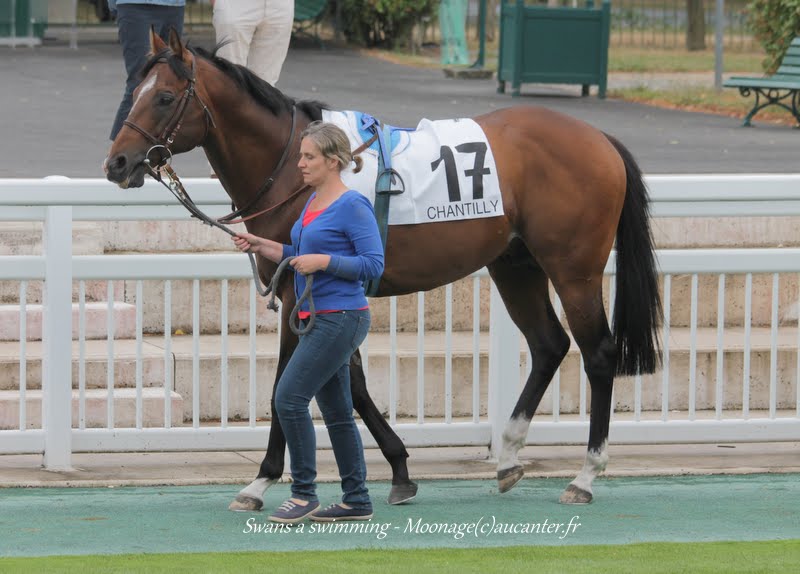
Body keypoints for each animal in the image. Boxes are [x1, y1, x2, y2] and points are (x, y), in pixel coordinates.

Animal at [101, 29, 664, 510]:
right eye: (135, 89)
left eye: (165, 97)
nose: (117, 164)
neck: (294, 170)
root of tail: (600, 138)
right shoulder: (324, 295)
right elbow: (350, 382)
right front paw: (398, 468)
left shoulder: (298, 292)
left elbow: (289, 380)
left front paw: (260, 480)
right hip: (515, 264)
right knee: (549, 344)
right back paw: (507, 456)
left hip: (574, 270)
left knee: (599, 354)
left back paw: (585, 475)